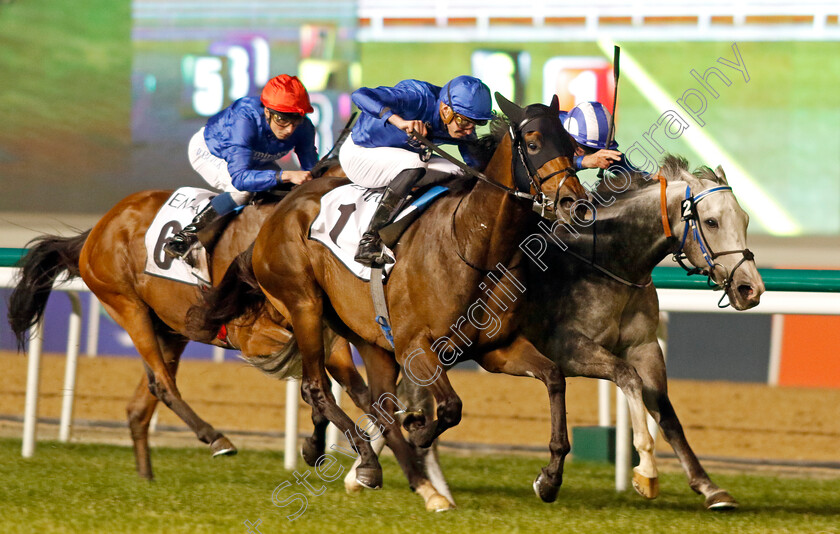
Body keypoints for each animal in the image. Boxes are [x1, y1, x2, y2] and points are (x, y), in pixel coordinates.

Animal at [5, 186, 368, 480]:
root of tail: (97, 229)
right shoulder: (254, 335)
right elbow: (317, 382)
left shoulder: (322, 330)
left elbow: (354, 389)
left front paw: (330, 448)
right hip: (128, 307)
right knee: (162, 384)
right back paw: (216, 439)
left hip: (170, 331)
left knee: (139, 407)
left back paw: (147, 479)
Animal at [240, 94, 588, 508]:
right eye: (533, 144)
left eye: (572, 145)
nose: (574, 203)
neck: (474, 243)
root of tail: (282, 210)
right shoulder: (415, 346)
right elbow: (451, 407)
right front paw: (420, 429)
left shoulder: (497, 348)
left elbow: (554, 377)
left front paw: (549, 477)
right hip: (304, 306)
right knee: (318, 388)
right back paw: (384, 466)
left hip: (369, 337)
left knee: (377, 403)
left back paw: (405, 479)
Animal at [364, 154, 764, 510]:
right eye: (711, 222)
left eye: (744, 218)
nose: (750, 288)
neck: (608, 262)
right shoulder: (571, 349)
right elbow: (627, 377)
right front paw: (646, 471)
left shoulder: (646, 347)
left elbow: (668, 416)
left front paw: (710, 488)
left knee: (404, 397)